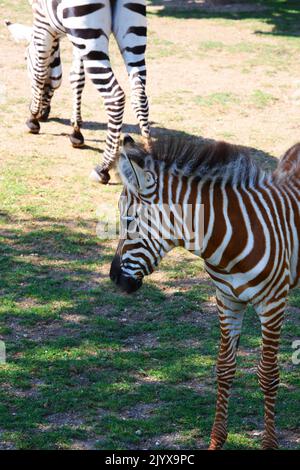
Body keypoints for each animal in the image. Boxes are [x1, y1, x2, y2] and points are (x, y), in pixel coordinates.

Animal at [110, 134, 300, 450]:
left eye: (128, 222)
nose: (115, 280)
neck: (230, 241)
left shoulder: (272, 305)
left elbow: (268, 374)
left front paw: (270, 444)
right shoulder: (227, 300)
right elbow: (224, 368)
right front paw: (216, 442)